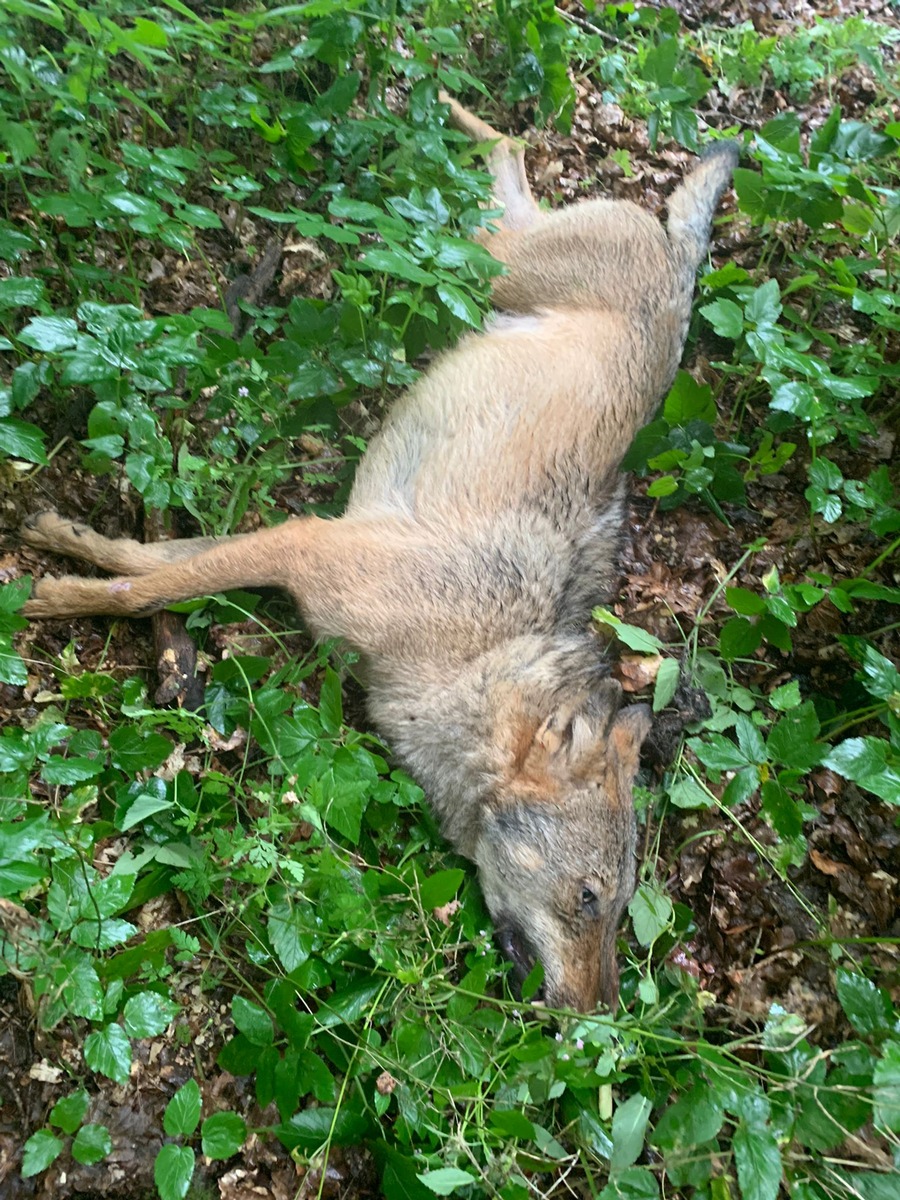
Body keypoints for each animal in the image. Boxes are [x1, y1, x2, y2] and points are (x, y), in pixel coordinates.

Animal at [19, 96, 739, 1012]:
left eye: (619, 916)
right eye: (588, 899)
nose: (600, 1019)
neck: (466, 657)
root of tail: (681, 273)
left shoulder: (299, 545)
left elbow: (152, 561)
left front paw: (61, 548)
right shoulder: (303, 544)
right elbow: (146, 584)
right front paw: (55, 588)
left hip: (491, 264)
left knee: (512, 159)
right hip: (484, 260)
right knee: (509, 152)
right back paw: (448, 107)